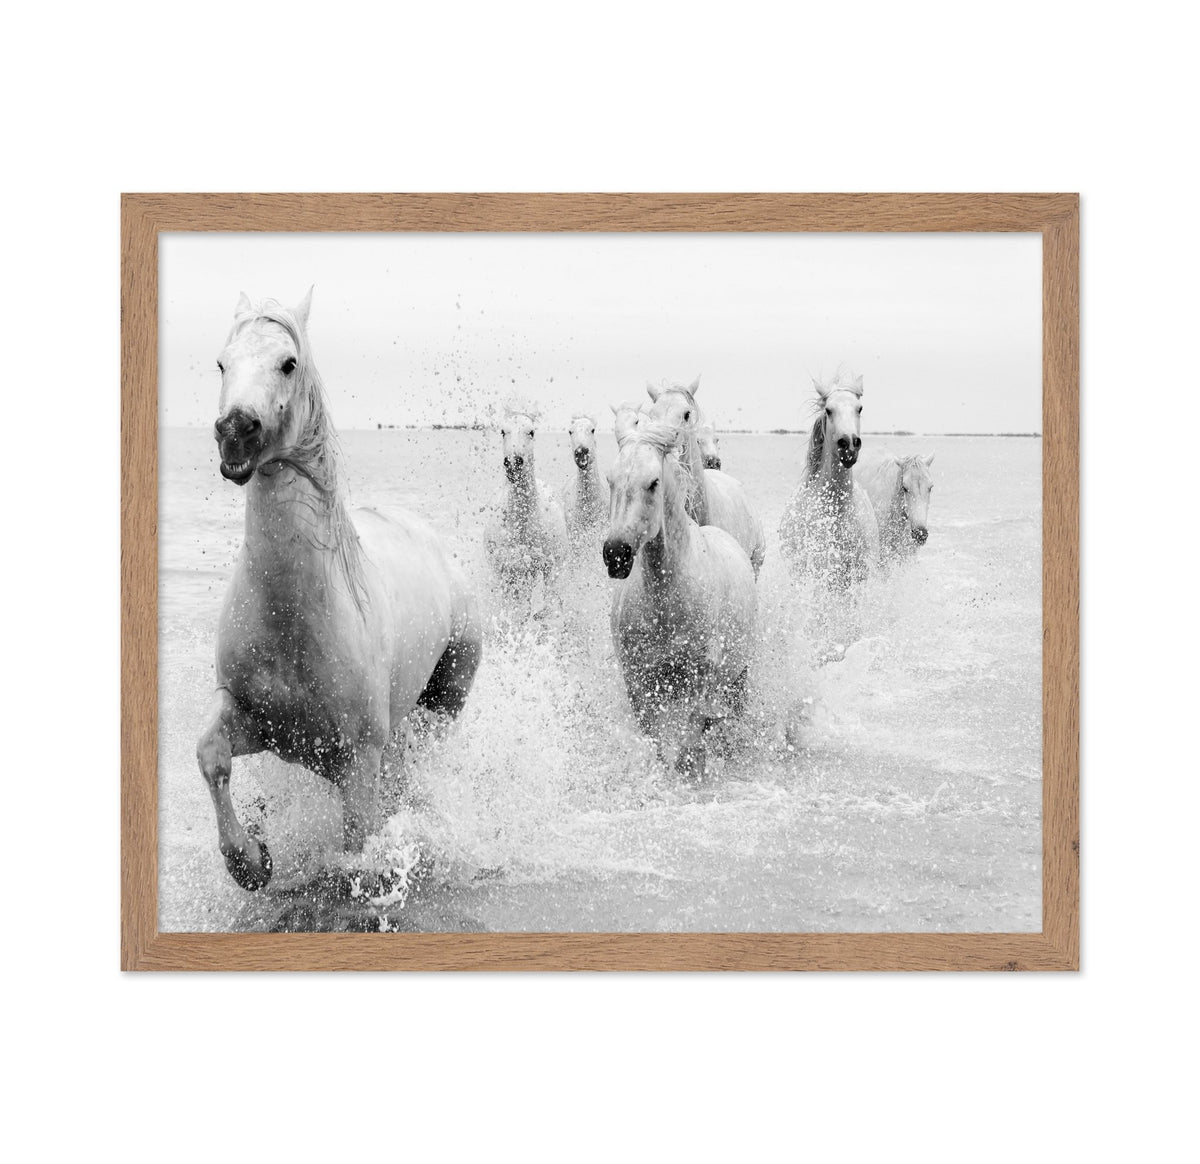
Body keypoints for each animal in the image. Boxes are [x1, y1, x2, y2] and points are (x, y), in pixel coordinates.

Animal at [197, 290, 482, 891]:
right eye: (221, 363)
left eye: (289, 363)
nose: (235, 430)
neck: (293, 615)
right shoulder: (254, 719)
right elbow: (211, 755)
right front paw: (250, 860)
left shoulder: (358, 762)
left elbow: (359, 845)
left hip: (445, 702)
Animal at [603, 419, 758, 778]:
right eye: (610, 480)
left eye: (653, 482)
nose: (615, 554)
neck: (666, 605)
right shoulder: (639, 682)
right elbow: (658, 743)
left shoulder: (700, 679)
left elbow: (691, 739)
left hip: (738, 674)